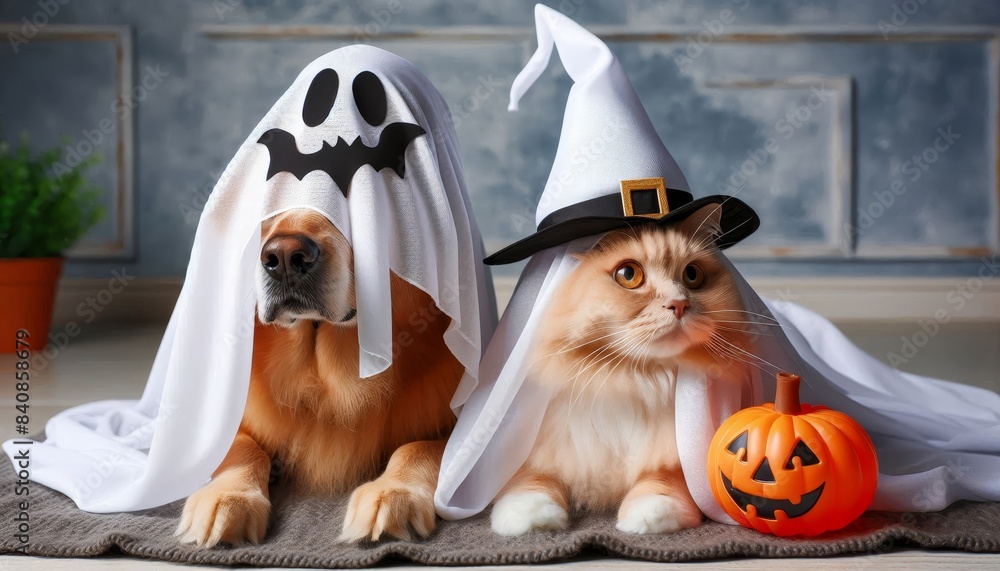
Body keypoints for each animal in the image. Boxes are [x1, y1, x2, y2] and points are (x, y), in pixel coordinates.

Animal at [174, 209, 462, 544]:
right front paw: (228, 497)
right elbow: (242, 448)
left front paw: (392, 492)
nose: (285, 257)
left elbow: (419, 447)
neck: (326, 379)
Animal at [492, 208, 752, 540]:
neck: (632, 379)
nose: (680, 304)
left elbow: (661, 483)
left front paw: (650, 517)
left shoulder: (677, 459)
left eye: (693, 276)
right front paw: (532, 519)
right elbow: (532, 483)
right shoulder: (537, 450)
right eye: (628, 275)